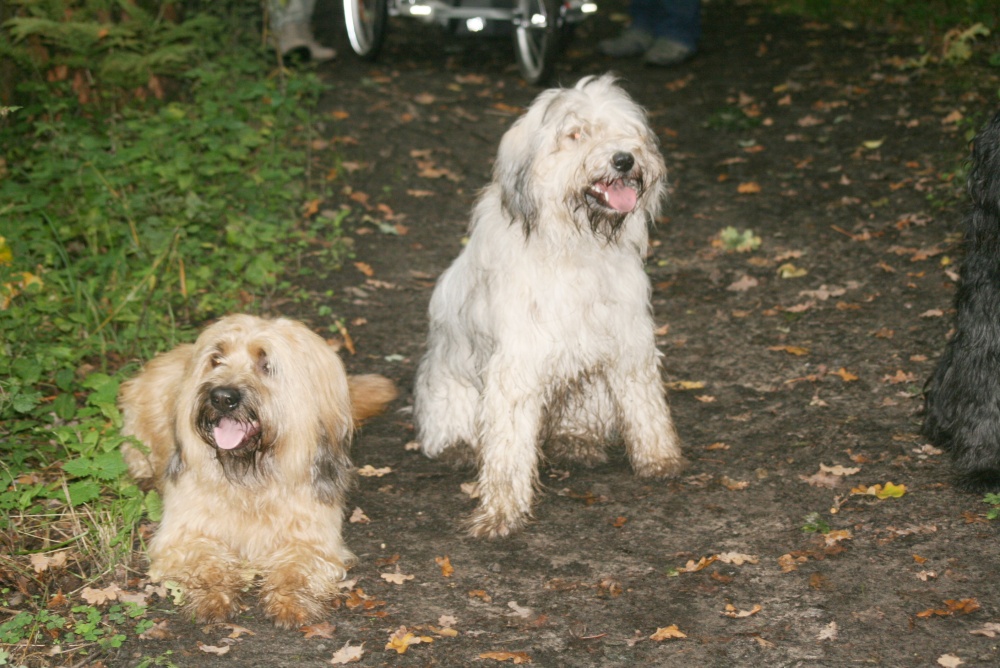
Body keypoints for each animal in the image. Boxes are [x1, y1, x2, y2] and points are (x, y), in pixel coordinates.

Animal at [120, 314, 394, 628]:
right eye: (216, 359)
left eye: (267, 364)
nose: (221, 397)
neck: (250, 479)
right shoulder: (184, 534)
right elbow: (204, 560)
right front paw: (212, 596)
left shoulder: (313, 539)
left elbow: (298, 566)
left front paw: (290, 600)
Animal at [414, 75, 688, 540]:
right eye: (574, 134)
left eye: (626, 130)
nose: (624, 159)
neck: (576, 243)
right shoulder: (517, 363)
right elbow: (507, 447)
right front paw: (502, 511)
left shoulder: (629, 339)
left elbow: (645, 404)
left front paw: (659, 457)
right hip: (449, 391)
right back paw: (458, 448)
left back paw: (575, 440)